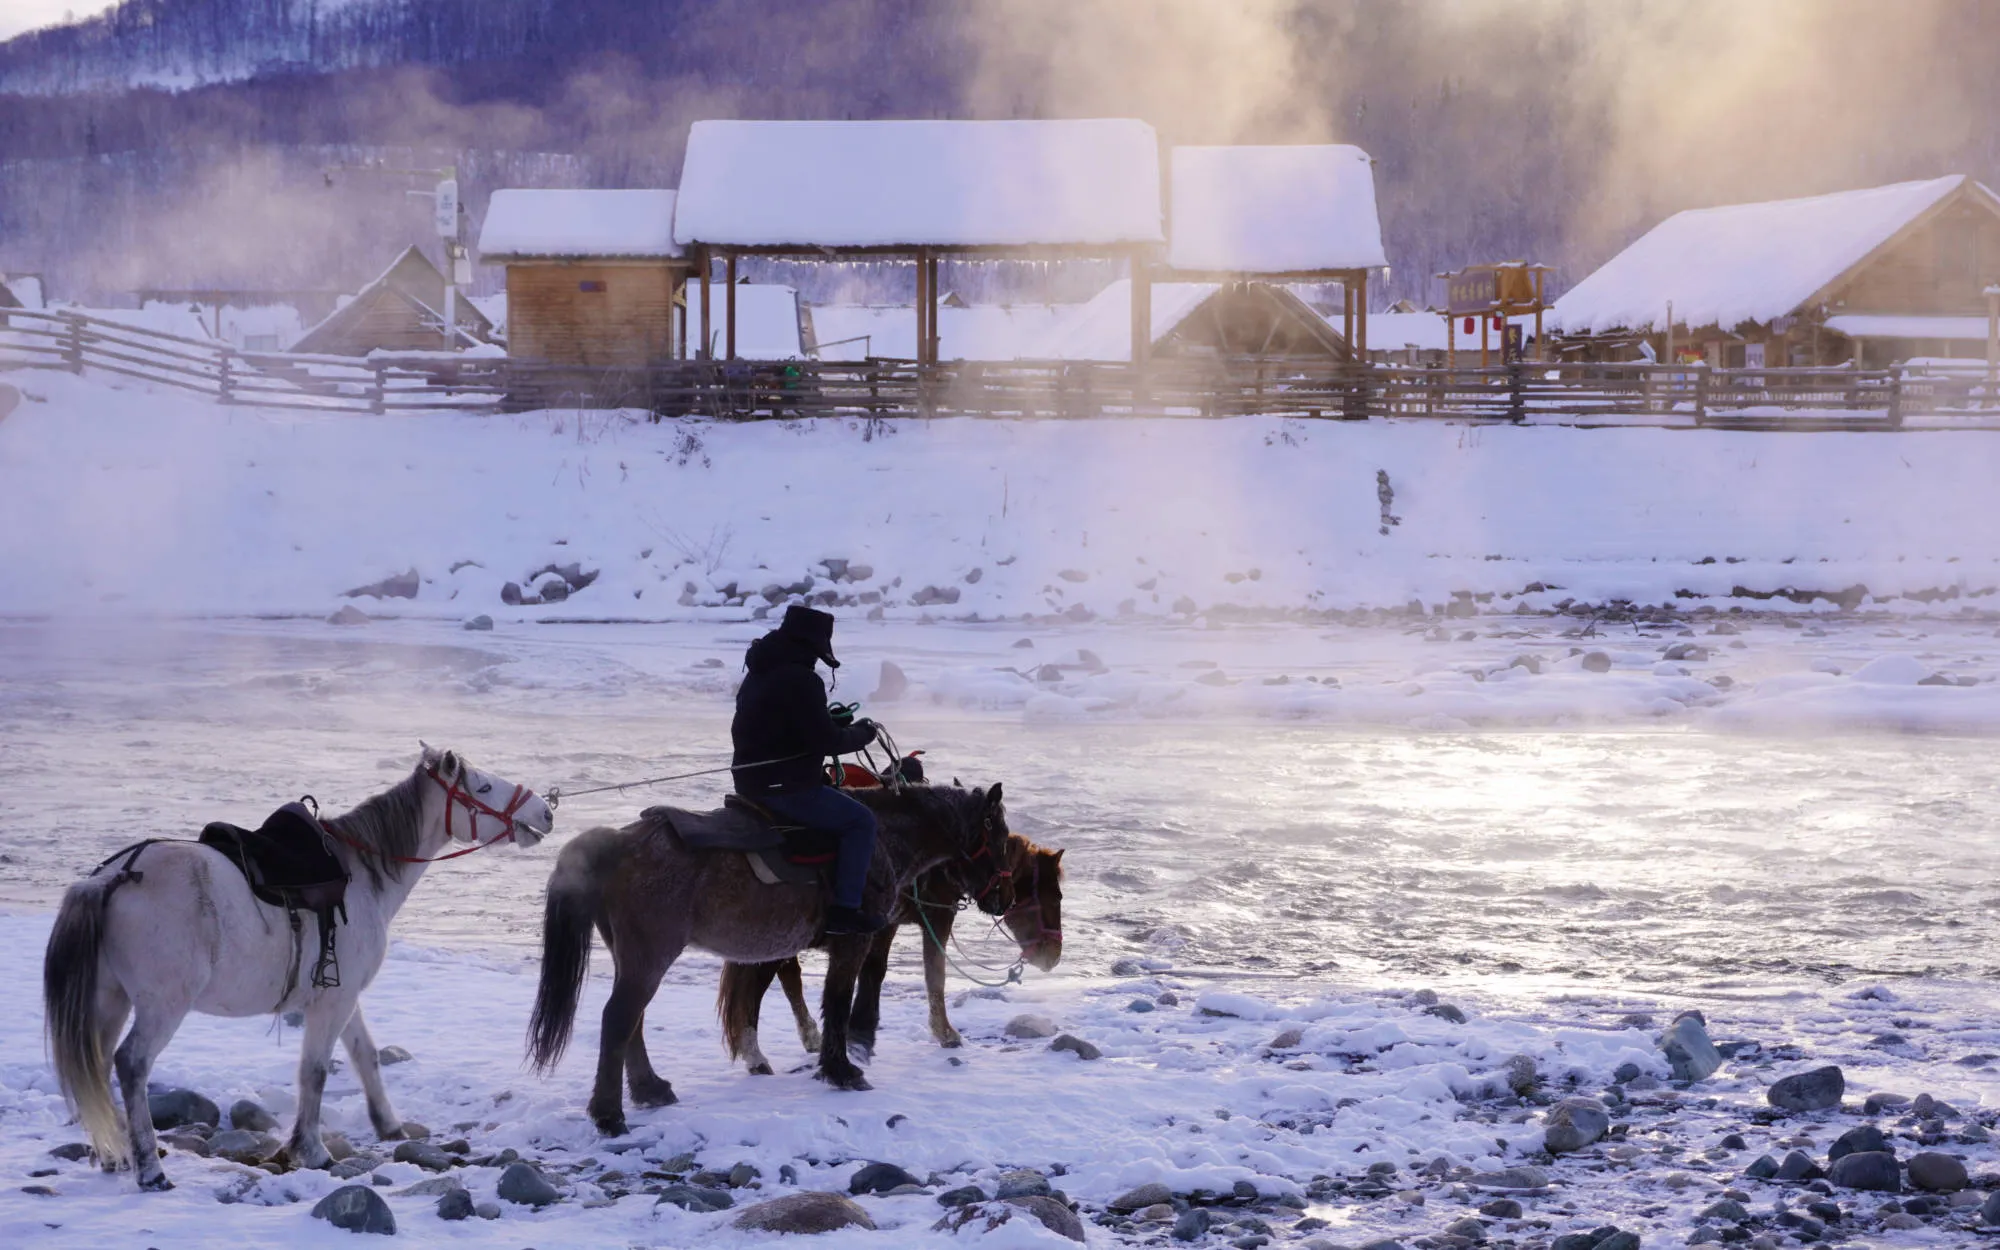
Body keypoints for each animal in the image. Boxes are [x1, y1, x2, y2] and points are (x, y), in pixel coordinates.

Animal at [43, 740, 556, 1192]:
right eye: (483, 787)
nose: (546, 812)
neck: (361, 873)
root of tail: (115, 876)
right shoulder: (332, 1002)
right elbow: (316, 1071)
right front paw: (311, 1150)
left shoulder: (344, 996)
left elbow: (365, 1056)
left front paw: (389, 1126)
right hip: (162, 1005)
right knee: (131, 1064)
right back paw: (149, 1169)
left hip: (109, 999)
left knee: (96, 1063)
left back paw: (114, 1155)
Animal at [528, 780, 1008, 1128]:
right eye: (1000, 835)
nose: (1000, 898)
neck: (886, 837)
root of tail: (618, 841)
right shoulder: (854, 941)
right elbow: (838, 1001)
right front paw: (841, 1068)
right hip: (649, 956)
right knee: (619, 1019)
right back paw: (609, 1114)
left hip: (635, 958)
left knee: (633, 1022)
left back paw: (649, 1089)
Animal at [716, 828, 1064, 1072]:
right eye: (1056, 896)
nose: (1055, 955)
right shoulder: (933, 919)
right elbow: (932, 975)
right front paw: (945, 1033)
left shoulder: (890, 923)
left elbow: (876, 970)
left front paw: (860, 1032)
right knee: (760, 987)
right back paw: (756, 1056)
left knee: (788, 976)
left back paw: (808, 1036)